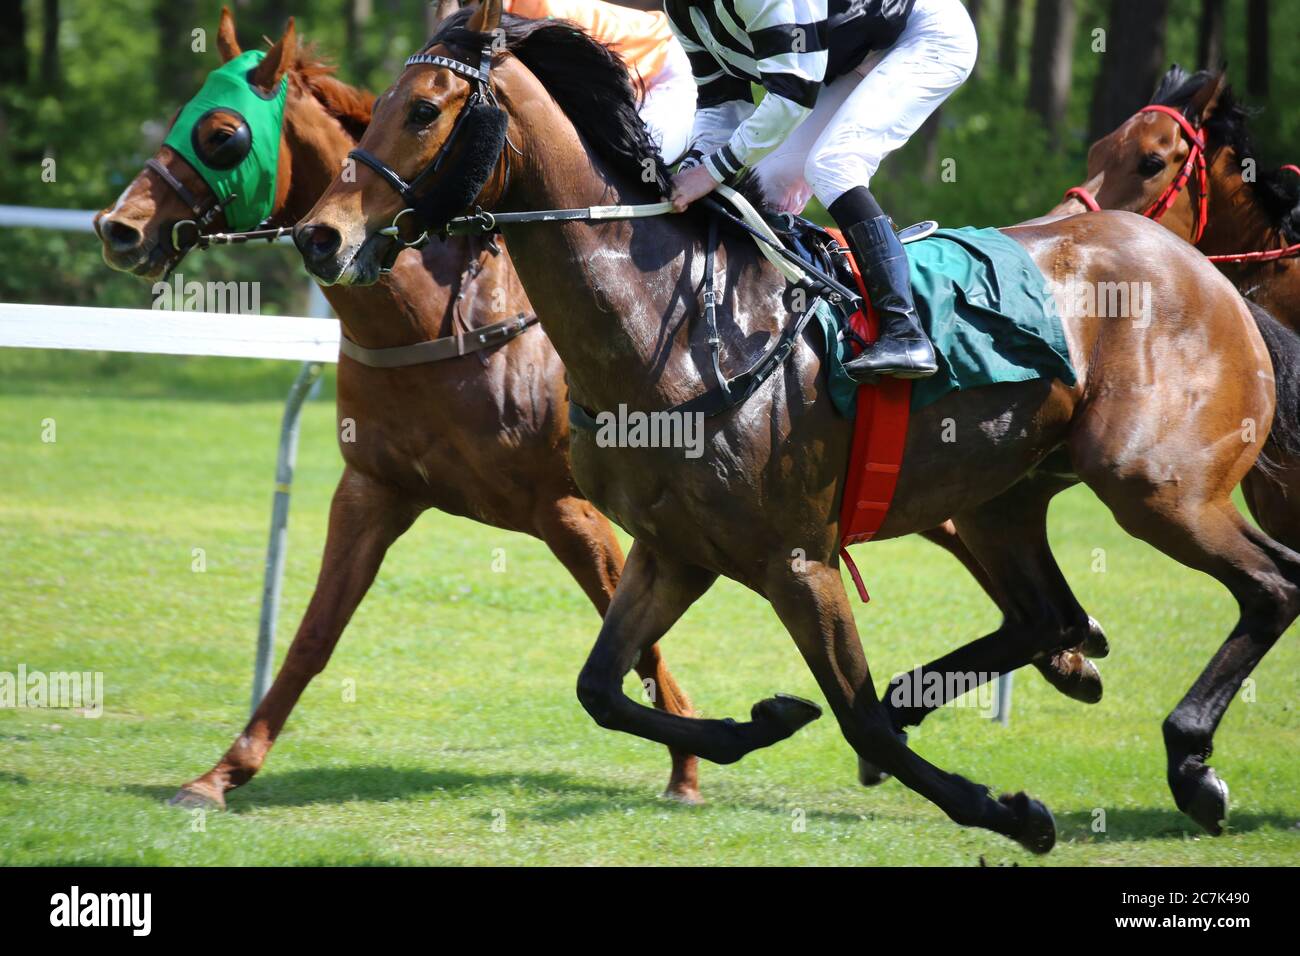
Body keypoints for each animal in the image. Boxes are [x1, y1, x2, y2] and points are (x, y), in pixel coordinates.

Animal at [94, 11, 702, 811]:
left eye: (222, 134)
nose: (118, 227)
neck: (439, 327)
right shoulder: (372, 488)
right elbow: (312, 636)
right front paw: (221, 773)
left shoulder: (566, 509)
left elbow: (633, 637)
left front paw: (687, 766)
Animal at [295, 3, 1300, 848]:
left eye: (425, 109)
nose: (319, 237)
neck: (668, 325)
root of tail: (1212, 279)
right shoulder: (674, 550)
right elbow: (602, 687)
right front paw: (765, 719)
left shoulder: (797, 560)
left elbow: (852, 715)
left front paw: (1009, 811)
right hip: (1004, 498)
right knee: (1051, 613)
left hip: (1157, 487)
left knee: (1271, 584)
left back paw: (1191, 762)